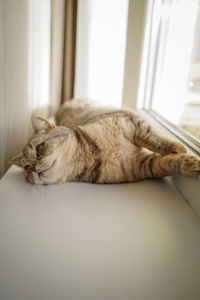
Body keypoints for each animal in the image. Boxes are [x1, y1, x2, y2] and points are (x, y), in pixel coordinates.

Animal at [10, 98, 200, 184]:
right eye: (26, 168)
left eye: (40, 148)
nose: (33, 168)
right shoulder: (144, 165)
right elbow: (168, 163)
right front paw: (188, 164)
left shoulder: (131, 122)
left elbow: (156, 139)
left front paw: (179, 148)